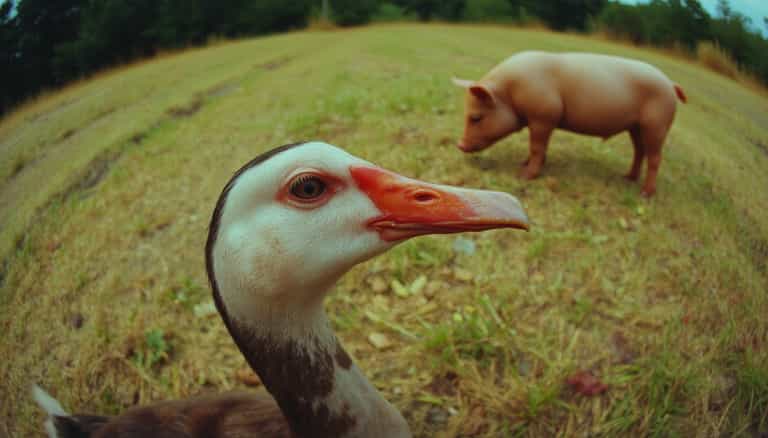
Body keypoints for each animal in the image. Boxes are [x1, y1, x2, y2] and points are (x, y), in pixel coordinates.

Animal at [452, 51, 687, 197]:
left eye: (476, 117)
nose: (459, 145)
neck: (511, 91)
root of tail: (670, 84)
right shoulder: (544, 121)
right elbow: (539, 148)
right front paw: (523, 163)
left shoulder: (545, 115)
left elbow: (537, 147)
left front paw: (524, 176)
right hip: (635, 127)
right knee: (640, 151)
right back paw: (627, 178)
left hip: (656, 125)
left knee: (655, 158)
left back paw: (645, 194)